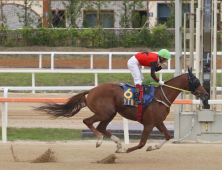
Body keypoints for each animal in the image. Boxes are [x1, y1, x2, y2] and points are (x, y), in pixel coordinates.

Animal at [35, 67, 207, 153]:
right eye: (196, 81)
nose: (205, 94)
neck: (160, 96)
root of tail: (91, 90)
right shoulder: (149, 124)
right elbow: (141, 144)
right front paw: (125, 150)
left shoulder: (158, 122)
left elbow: (167, 136)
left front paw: (153, 147)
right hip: (105, 112)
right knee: (88, 121)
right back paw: (100, 141)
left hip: (111, 113)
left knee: (101, 127)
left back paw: (117, 143)